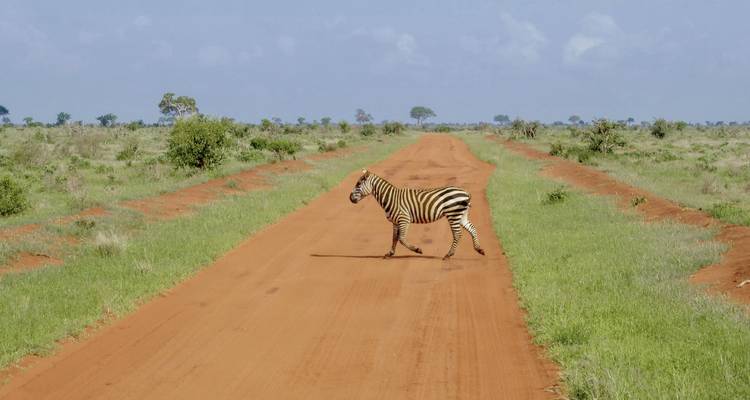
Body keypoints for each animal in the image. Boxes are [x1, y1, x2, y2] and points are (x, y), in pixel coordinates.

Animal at [349, 169, 485, 260]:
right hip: (461, 215)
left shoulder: (404, 219)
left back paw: (448, 255)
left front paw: (417, 250)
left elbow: (402, 239)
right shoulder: (395, 221)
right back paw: (479, 249)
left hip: (453, 214)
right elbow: (394, 238)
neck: (390, 198)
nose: (349, 198)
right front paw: (390, 253)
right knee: (472, 228)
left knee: (457, 234)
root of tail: (466, 192)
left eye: (358, 185)